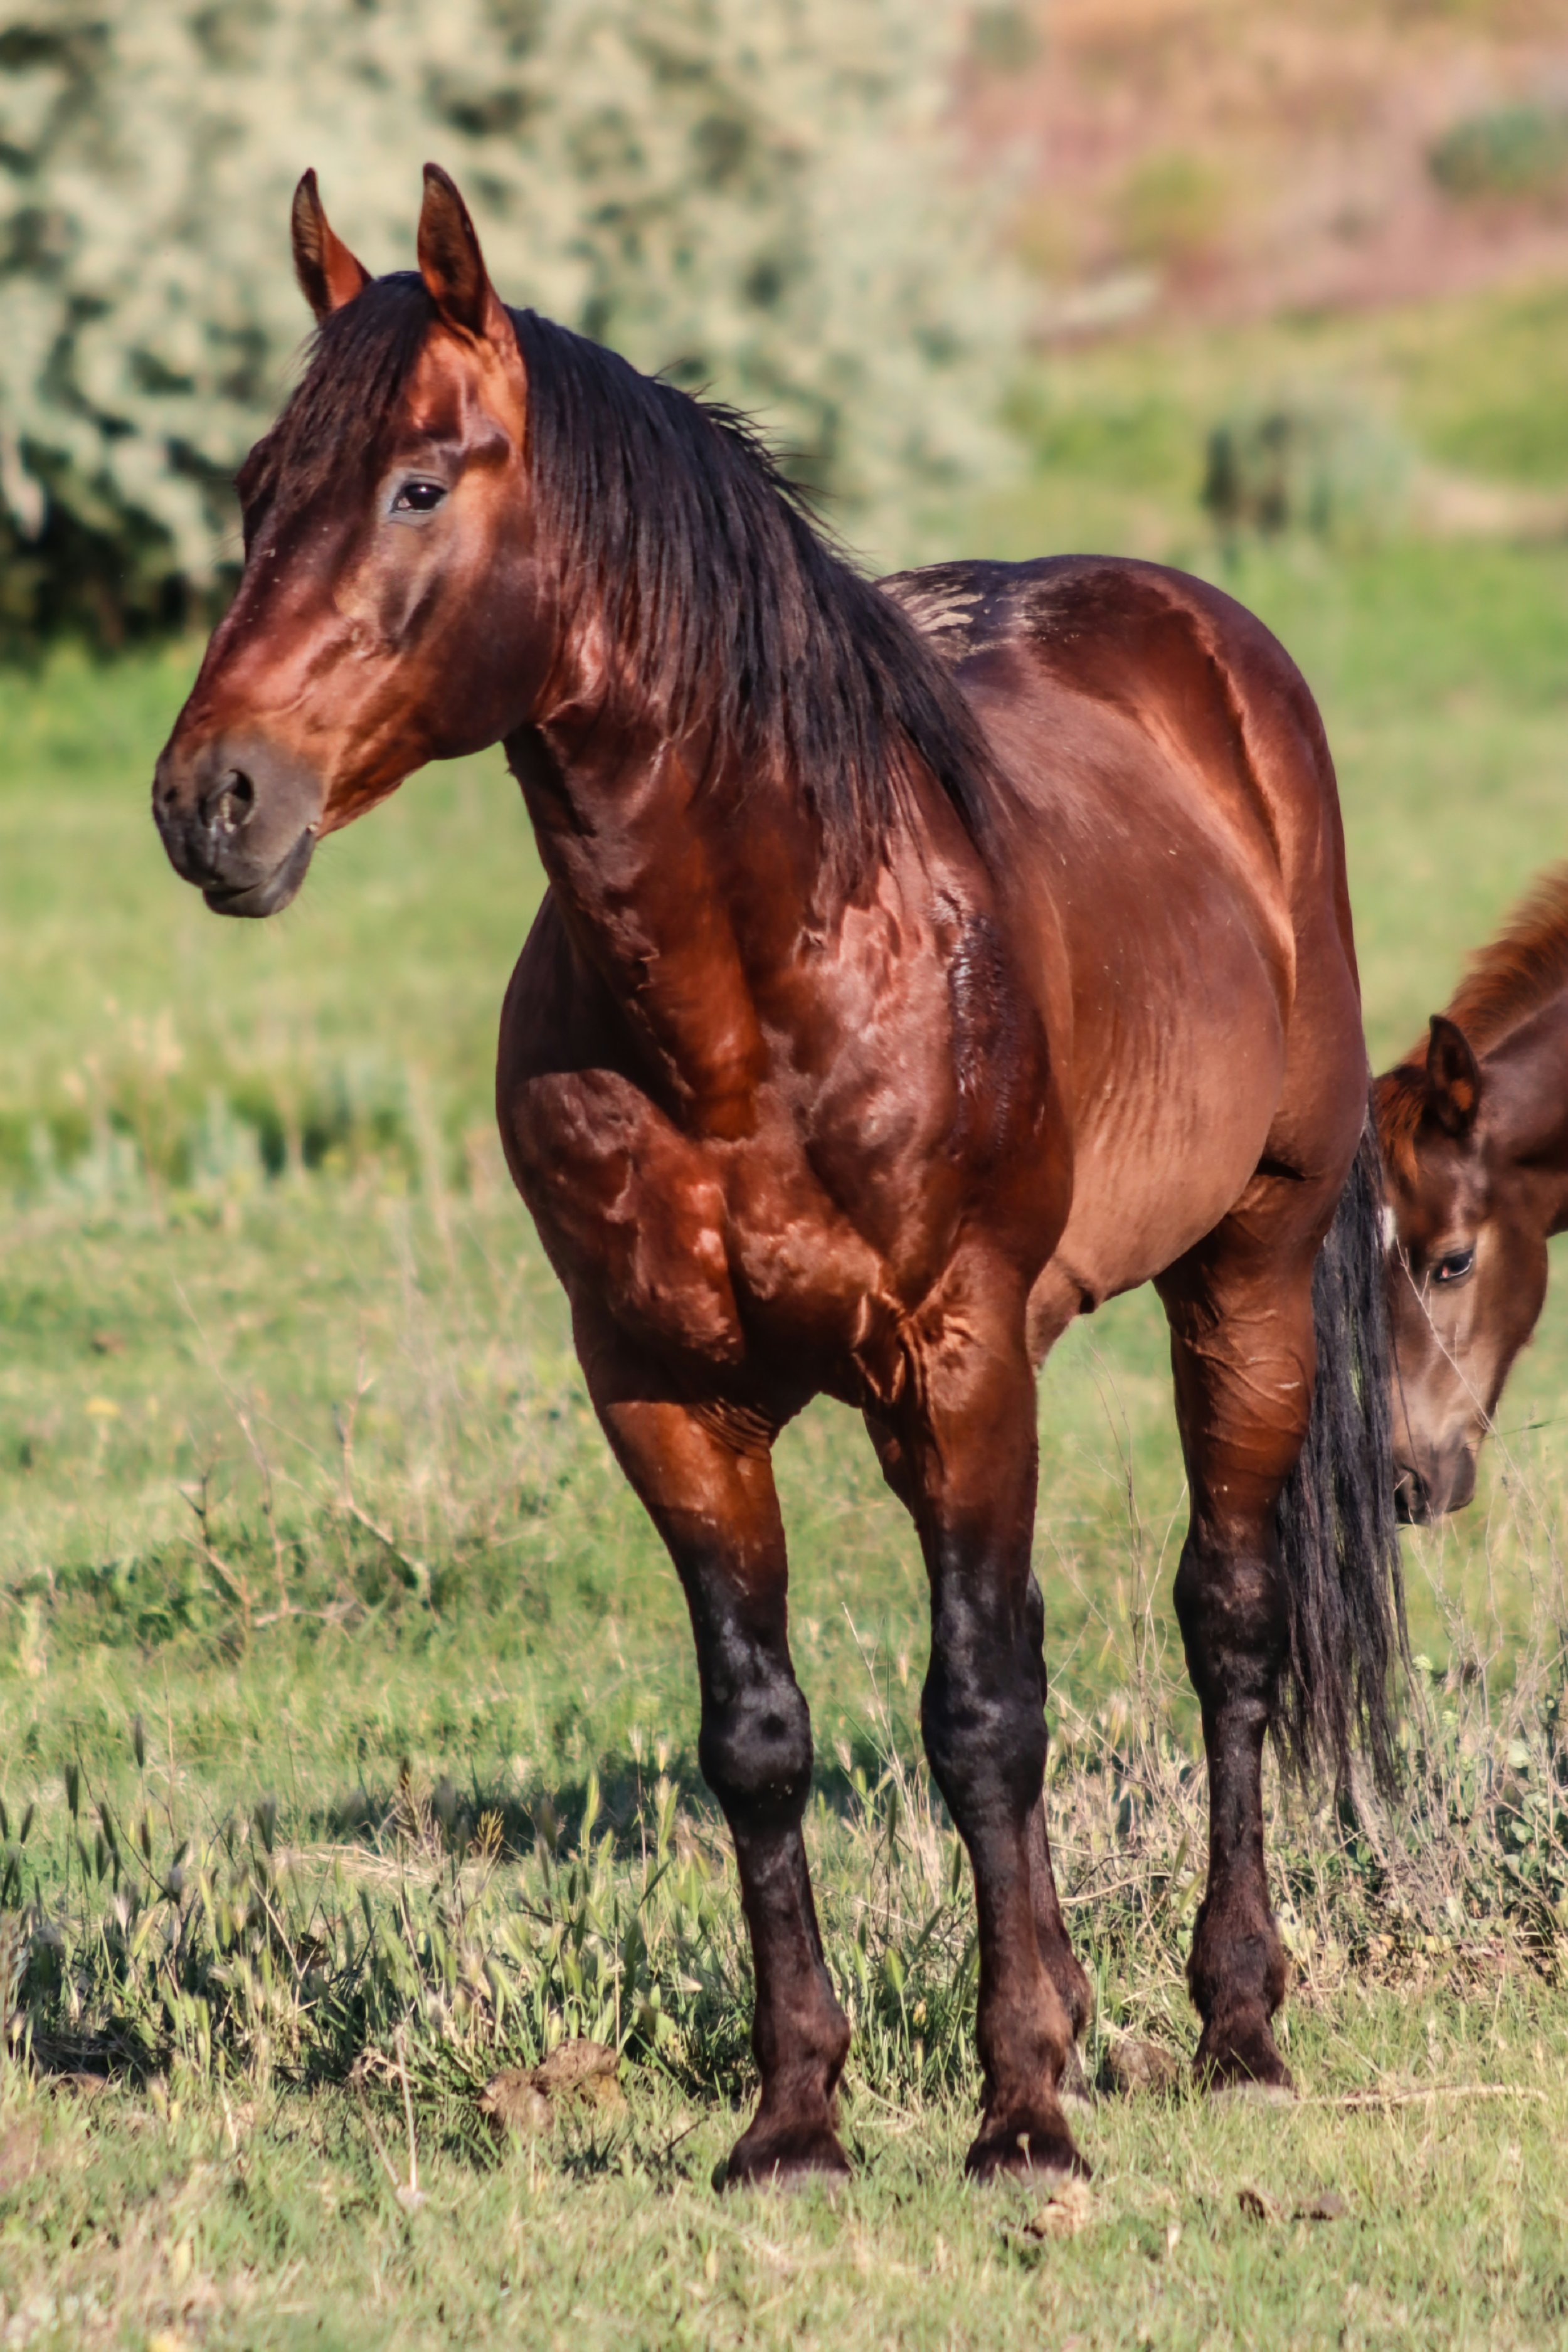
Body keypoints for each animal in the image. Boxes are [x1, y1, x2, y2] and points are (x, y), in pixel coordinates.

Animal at [152, 165, 1401, 2185]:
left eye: (419, 482)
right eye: (262, 485)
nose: (212, 803)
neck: (754, 991)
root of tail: (1206, 650)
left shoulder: (956, 1358)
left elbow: (980, 1717)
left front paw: (1021, 2110)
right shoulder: (666, 1393)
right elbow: (758, 1732)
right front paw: (796, 2112)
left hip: (1249, 1267)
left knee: (1225, 1621)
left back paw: (1235, 2018)